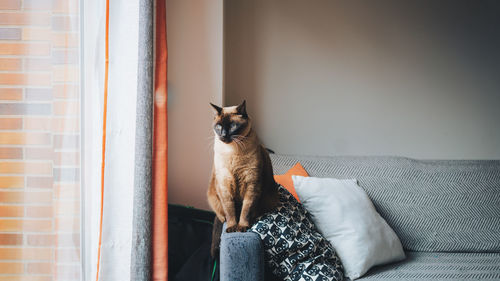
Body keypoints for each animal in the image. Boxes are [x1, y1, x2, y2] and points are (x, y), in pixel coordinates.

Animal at [205, 99, 280, 255]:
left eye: (232, 126)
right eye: (219, 126)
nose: (223, 135)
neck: (232, 151)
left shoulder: (252, 185)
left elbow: (245, 210)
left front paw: (242, 227)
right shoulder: (225, 187)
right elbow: (230, 211)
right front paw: (232, 227)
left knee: (254, 210)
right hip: (213, 197)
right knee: (222, 215)